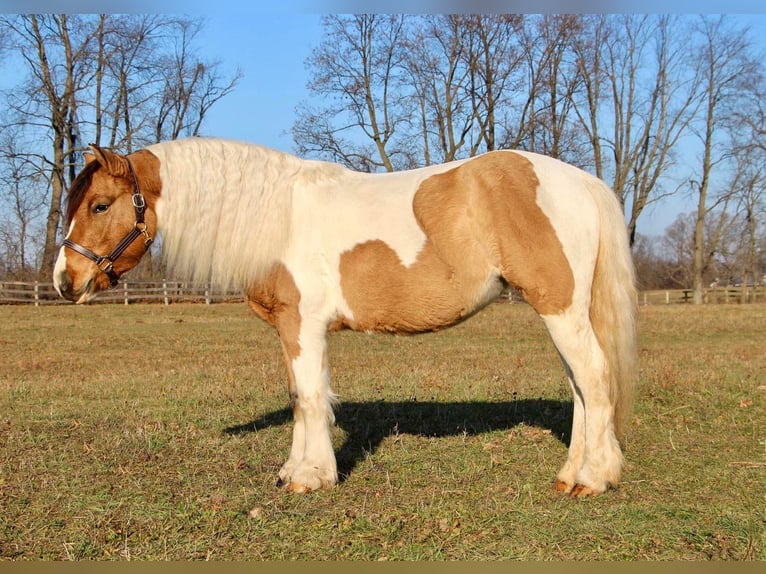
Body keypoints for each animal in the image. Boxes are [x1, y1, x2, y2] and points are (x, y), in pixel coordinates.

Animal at [54, 137, 640, 498]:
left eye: (100, 205)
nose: (65, 281)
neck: (279, 217)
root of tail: (583, 182)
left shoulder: (304, 326)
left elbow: (312, 397)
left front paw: (312, 478)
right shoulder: (289, 329)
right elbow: (297, 397)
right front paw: (293, 470)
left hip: (560, 308)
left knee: (593, 378)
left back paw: (592, 479)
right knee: (582, 387)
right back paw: (573, 473)